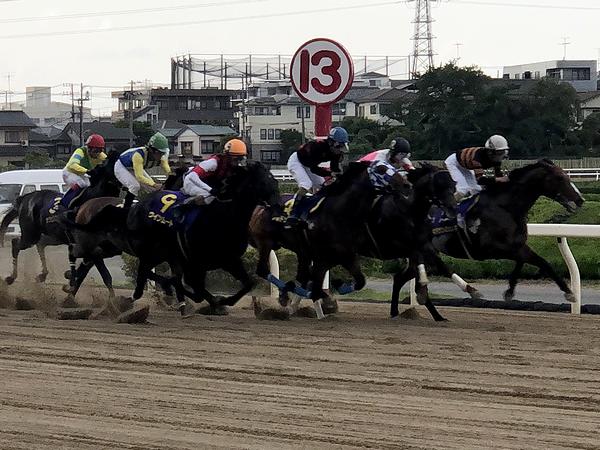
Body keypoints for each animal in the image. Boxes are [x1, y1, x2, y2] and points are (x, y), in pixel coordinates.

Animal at [0, 149, 120, 286]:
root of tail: (25, 198)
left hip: (55, 236)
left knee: (40, 243)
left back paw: (42, 274)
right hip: (30, 234)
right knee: (16, 243)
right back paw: (11, 277)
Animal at [390, 160, 580, 318]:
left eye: (566, 176)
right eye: (560, 178)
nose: (580, 200)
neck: (506, 207)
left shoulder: (517, 245)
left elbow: (532, 261)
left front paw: (510, 291)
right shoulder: (494, 248)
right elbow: (535, 261)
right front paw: (569, 292)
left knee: (400, 278)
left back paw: (408, 314)